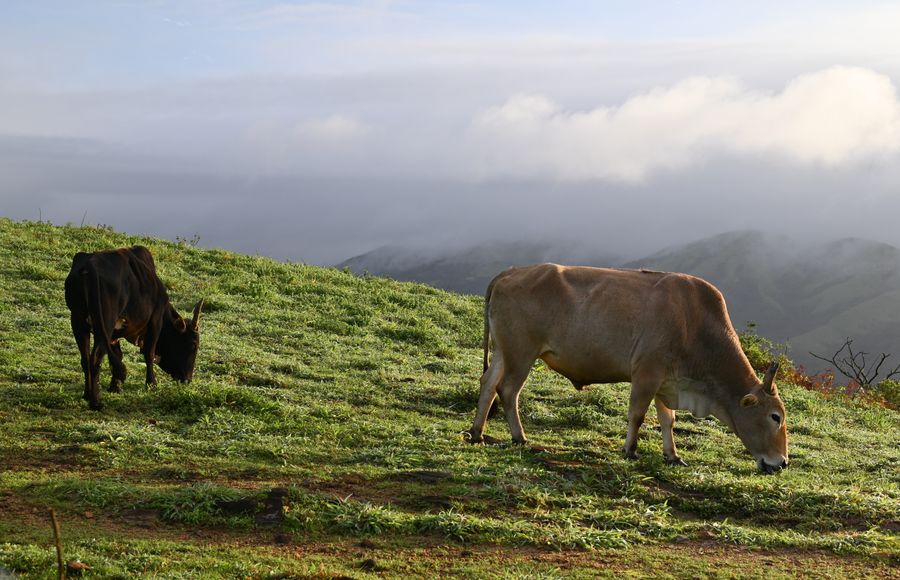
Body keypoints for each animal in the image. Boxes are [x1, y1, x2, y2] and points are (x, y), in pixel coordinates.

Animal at [64, 246, 204, 410]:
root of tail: (90, 266)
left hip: (78, 320)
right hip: (104, 323)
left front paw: (116, 386)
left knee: (85, 358)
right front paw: (151, 384)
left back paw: (87, 394)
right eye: (193, 345)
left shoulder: (114, 334)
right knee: (95, 359)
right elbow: (149, 353)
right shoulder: (155, 320)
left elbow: (117, 356)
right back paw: (96, 401)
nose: (187, 380)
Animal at [465, 264, 789, 474]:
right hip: (521, 352)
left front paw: (672, 455)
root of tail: (510, 272)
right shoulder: (647, 373)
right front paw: (630, 450)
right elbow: (638, 414)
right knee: (508, 390)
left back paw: (477, 433)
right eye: (775, 417)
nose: (782, 462)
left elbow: (668, 419)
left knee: (488, 383)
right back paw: (519, 437)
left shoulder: (666, 381)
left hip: (503, 351)